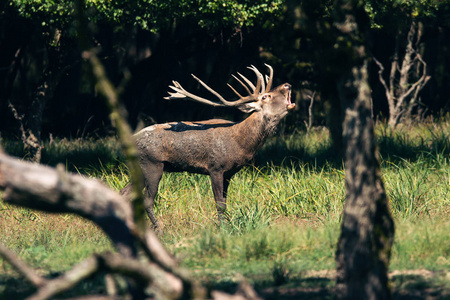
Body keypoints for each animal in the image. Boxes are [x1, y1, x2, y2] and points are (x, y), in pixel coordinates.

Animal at [119, 63, 296, 229]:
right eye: (266, 96)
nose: (287, 84)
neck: (241, 145)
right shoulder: (215, 167)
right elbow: (219, 204)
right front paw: (222, 228)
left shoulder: (229, 173)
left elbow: (225, 203)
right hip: (152, 164)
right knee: (147, 200)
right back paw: (158, 228)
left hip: (140, 168)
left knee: (124, 192)